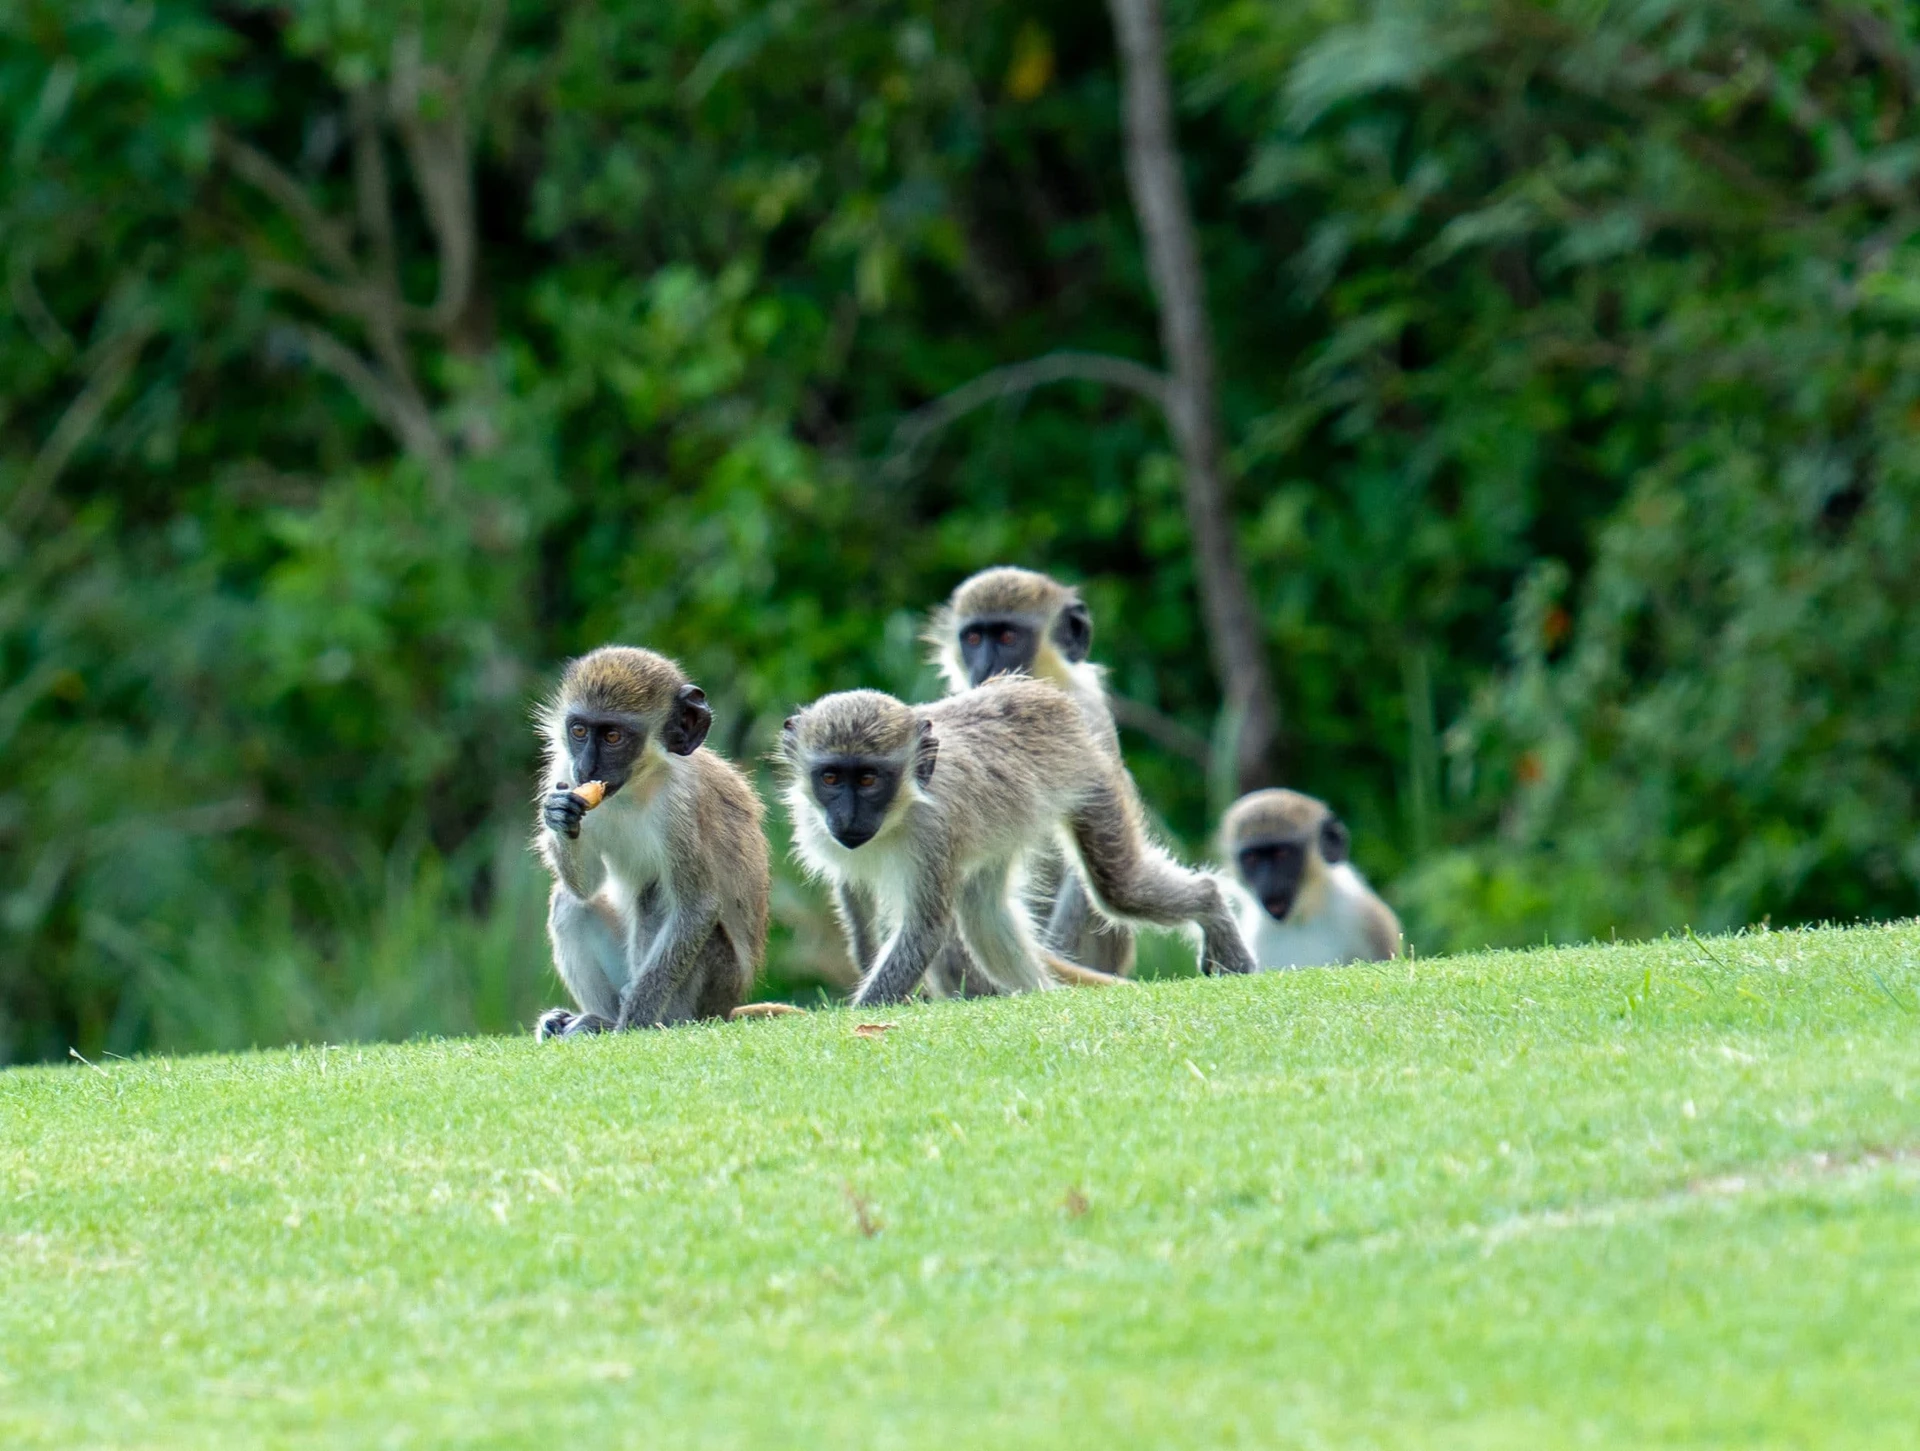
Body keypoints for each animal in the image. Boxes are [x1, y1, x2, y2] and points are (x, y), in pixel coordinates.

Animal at [532, 646, 769, 1038]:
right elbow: (586, 888)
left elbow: (698, 907)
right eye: (579, 730)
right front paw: (559, 813)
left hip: (717, 985)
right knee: (571, 903)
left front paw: (634, 1022)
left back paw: (646, 1022)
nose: (587, 768)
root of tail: (728, 1007)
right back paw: (593, 1019)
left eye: (613, 737)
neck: (634, 787)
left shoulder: (680, 806)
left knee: (655, 895)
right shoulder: (563, 771)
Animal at [778, 677, 1253, 1006]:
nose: (847, 817)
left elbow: (925, 930)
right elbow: (855, 897)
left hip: (1093, 781)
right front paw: (865, 959)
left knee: (1119, 887)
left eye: (869, 779)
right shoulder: (817, 824)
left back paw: (1213, 908)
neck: (901, 809)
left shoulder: (934, 831)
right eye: (831, 778)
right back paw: (1043, 992)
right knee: (984, 914)